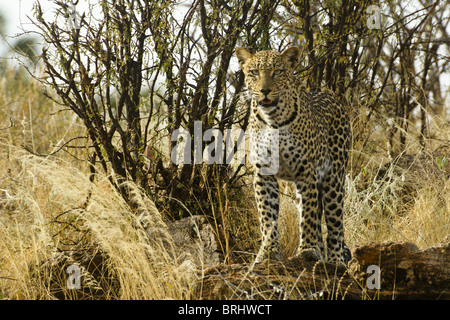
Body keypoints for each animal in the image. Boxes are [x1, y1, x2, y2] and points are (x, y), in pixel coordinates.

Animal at [236, 45, 352, 264]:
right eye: (254, 72)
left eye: (278, 72)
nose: (265, 90)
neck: (273, 119)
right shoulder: (264, 173)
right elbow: (267, 215)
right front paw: (268, 251)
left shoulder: (307, 173)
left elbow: (308, 216)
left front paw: (307, 250)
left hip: (334, 178)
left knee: (335, 223)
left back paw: (335, 261)